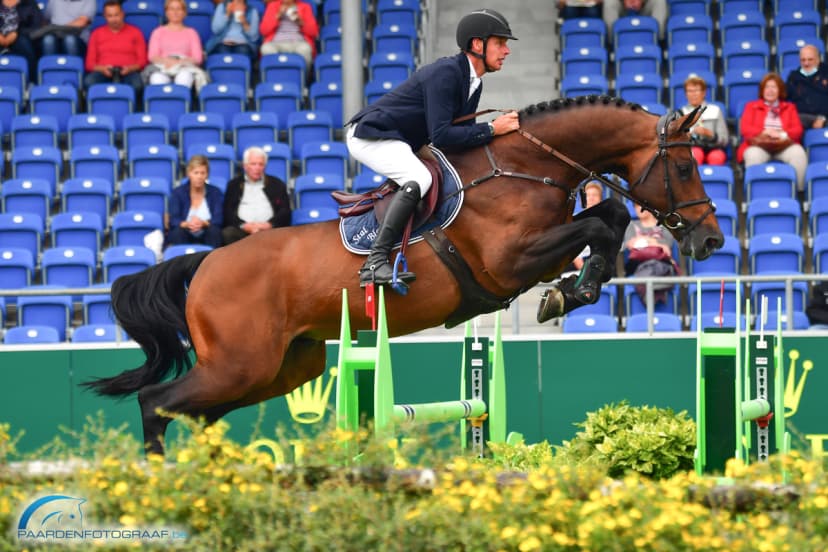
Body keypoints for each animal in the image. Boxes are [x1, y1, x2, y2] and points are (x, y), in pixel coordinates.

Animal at [83, 96, 724, 455]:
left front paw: (575, 289)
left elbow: (609, 218)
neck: (525, 167)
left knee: (195, 413)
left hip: (282, 367)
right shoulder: (512, 261)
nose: (711, 240)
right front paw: (569, 293)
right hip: (242, 363)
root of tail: (206, 261)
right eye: (685, 167)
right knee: (157, 403)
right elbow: (598, 225)